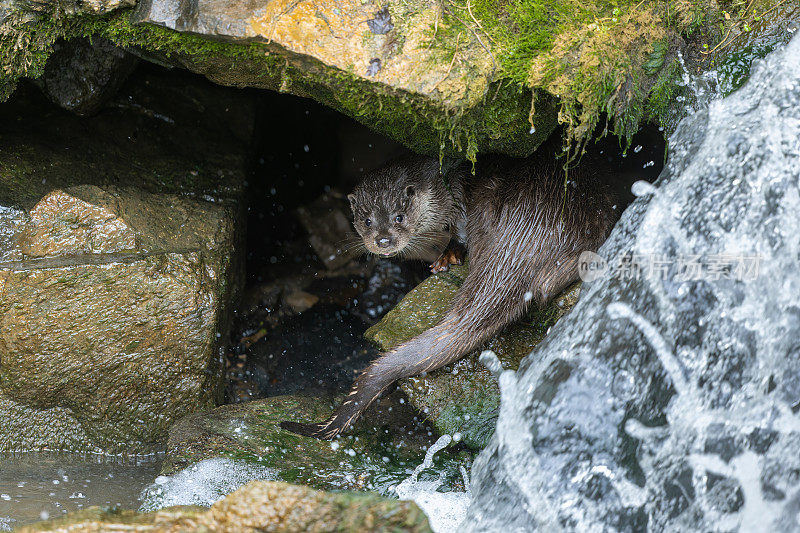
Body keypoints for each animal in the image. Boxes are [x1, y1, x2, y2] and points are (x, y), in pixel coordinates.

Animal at [278, 153, 620, 436]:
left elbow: (459, 228)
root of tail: (527, 233)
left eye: (399, 217)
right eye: (367, 220)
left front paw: (447, 254)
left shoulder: (456, 194)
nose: (383, 240)